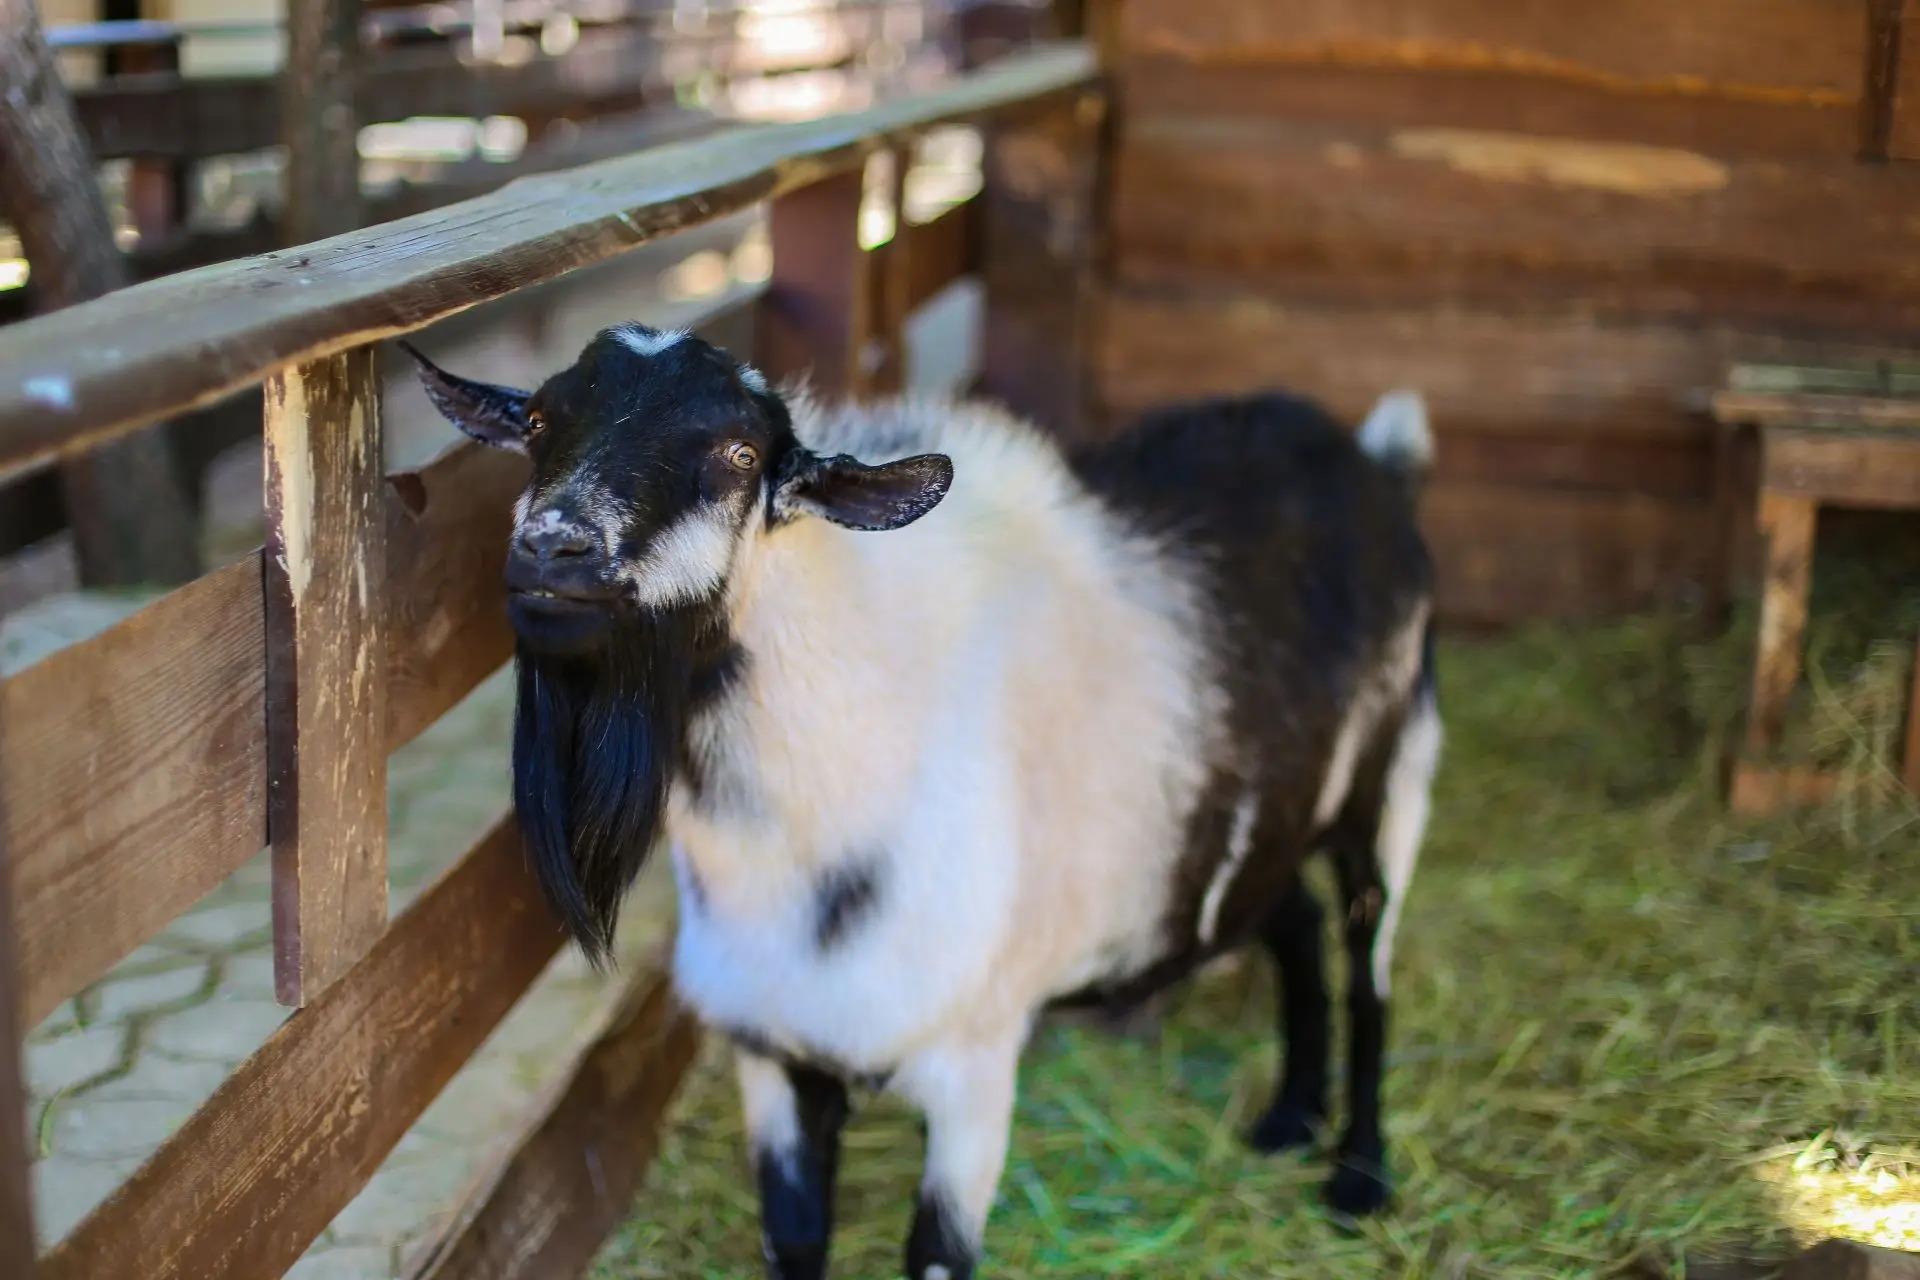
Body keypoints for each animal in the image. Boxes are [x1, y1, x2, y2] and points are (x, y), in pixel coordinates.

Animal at [407, 324, 1441, 1280]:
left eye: (740, 454)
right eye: (538, 422)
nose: (555, 550)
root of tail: (1373, 458)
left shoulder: (974, 1065)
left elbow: (935, 1253)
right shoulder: (772, 1055)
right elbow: (794, 1242)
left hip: (1395, 776)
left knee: (1369, 961)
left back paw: (1359, 1177)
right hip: (1275, 814)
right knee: (1295, 921)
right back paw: (1290, 1117)